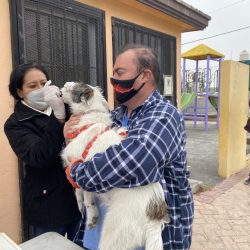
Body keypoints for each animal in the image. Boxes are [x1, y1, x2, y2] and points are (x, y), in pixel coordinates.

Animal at [60, 82, 170, 250]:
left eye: (69, 89)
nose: (60, 90)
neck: (90, 117)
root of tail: (155, 214)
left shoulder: (81, 165)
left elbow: (84, 194)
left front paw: (89, 214)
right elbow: (80, 192)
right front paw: (84, 208)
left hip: (114, 232)